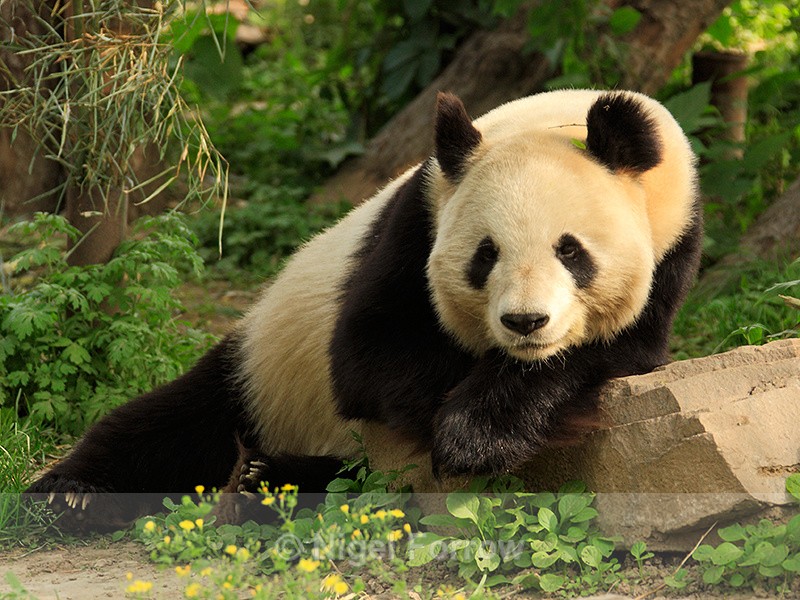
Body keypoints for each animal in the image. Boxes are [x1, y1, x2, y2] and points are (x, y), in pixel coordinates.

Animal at [27, 89, 702, 530]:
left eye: (571, 250)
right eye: (485, 255)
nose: (525, 323)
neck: (552, 120)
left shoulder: (671, 248)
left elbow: (609, 351)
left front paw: (479, 431)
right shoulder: (415, 221)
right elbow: (371, 357)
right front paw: (466, 429)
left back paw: (264, 483)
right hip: (263, 368)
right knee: (171, 422)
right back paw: (75, 495)